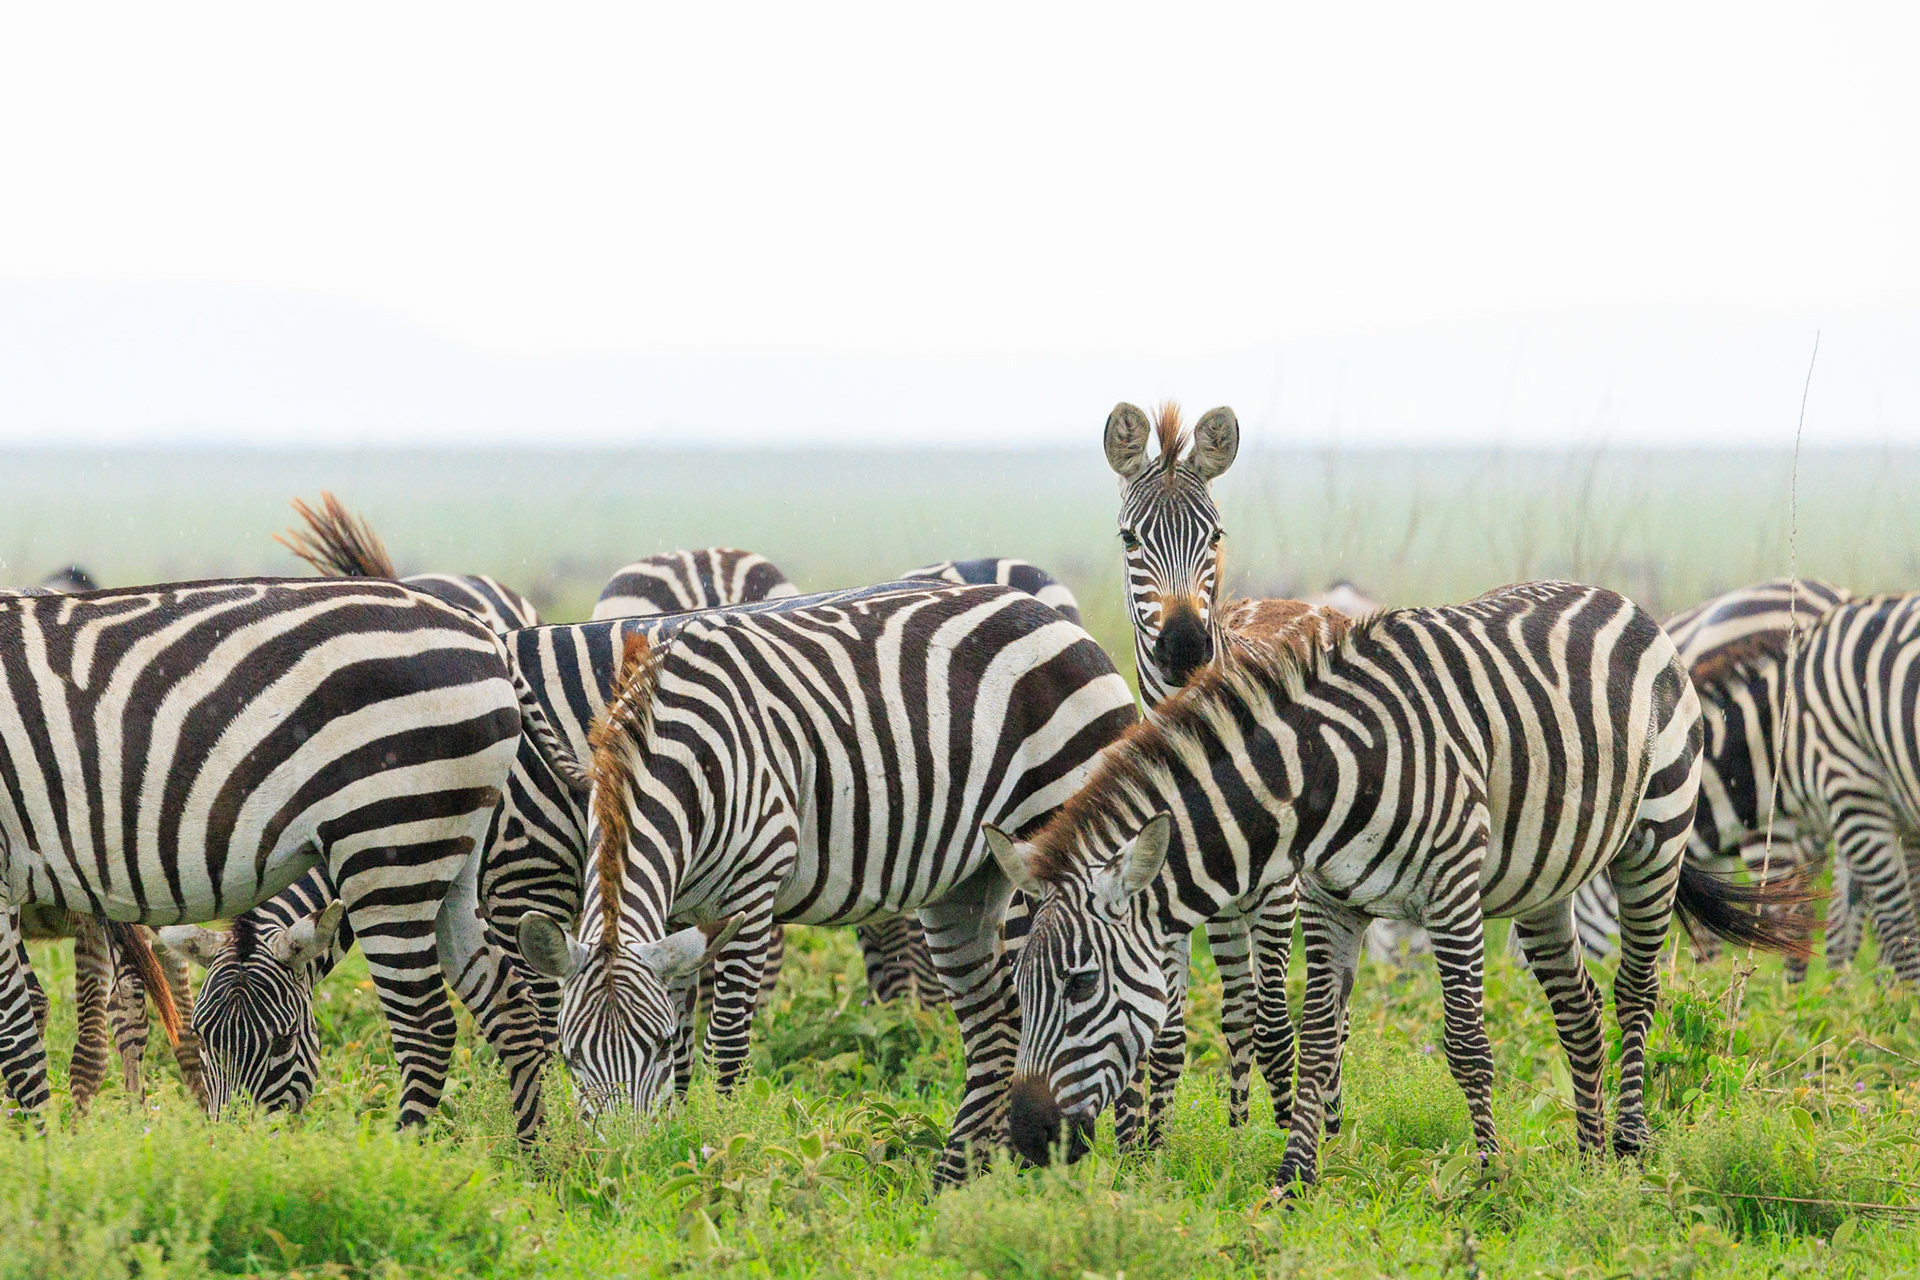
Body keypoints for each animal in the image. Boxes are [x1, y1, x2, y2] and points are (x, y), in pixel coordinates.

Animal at [0, 578, 548, 1134]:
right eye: (202, 1035)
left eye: (284, 1041)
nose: (239, 1144)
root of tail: (480, 630)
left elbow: (16, 1038)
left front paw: (39, 1143)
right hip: (451, 853)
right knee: (509, 1006)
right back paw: (535, 1149)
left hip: (389, 840)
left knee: (425, 1028)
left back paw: (406, 1148)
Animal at [512, 582, 1138, 1186]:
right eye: (569, 1056)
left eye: (655, 1046)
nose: (623, 1163)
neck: (676, 756)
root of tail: (1052, 616)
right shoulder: (677, 921)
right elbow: (689, 1048)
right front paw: (679, 1146)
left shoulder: (751, 890)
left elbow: (726, 1045)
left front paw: (723, 1154)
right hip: (966, 886)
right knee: (996, 1028)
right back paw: (960, 1183)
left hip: (1059, 831)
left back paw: (1117, 1164)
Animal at [982, 580, 1811, 1190]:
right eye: (1021, 988)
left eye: (1083, 984)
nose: (1025, 1140)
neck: (1323, 776)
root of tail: (1618, 598)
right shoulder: (1329, 902)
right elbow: (1318, 1040)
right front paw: (1295, 1177)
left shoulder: (1450, 895)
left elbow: (1468, 1042)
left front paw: (1489, 1177)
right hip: (1545, 880)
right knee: (1577, 1009)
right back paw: (1588, 1154)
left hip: (1656, 835)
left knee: (1636, 989)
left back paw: (1632, 1147)